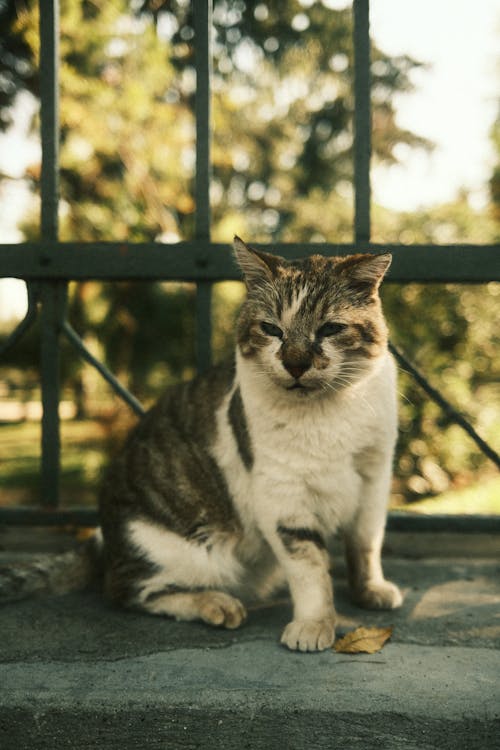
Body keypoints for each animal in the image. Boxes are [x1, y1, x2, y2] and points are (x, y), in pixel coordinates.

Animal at [97, 236, 402, 652]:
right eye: (271, 329)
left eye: (330, 328)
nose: (295, 363)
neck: (329, 411)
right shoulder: (283, 496)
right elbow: (310, 568)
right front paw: (313, 624)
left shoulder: (373, 480)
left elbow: (365, 544)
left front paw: (369, 590)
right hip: (180, 550)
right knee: (133, 590)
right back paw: (217, 604)